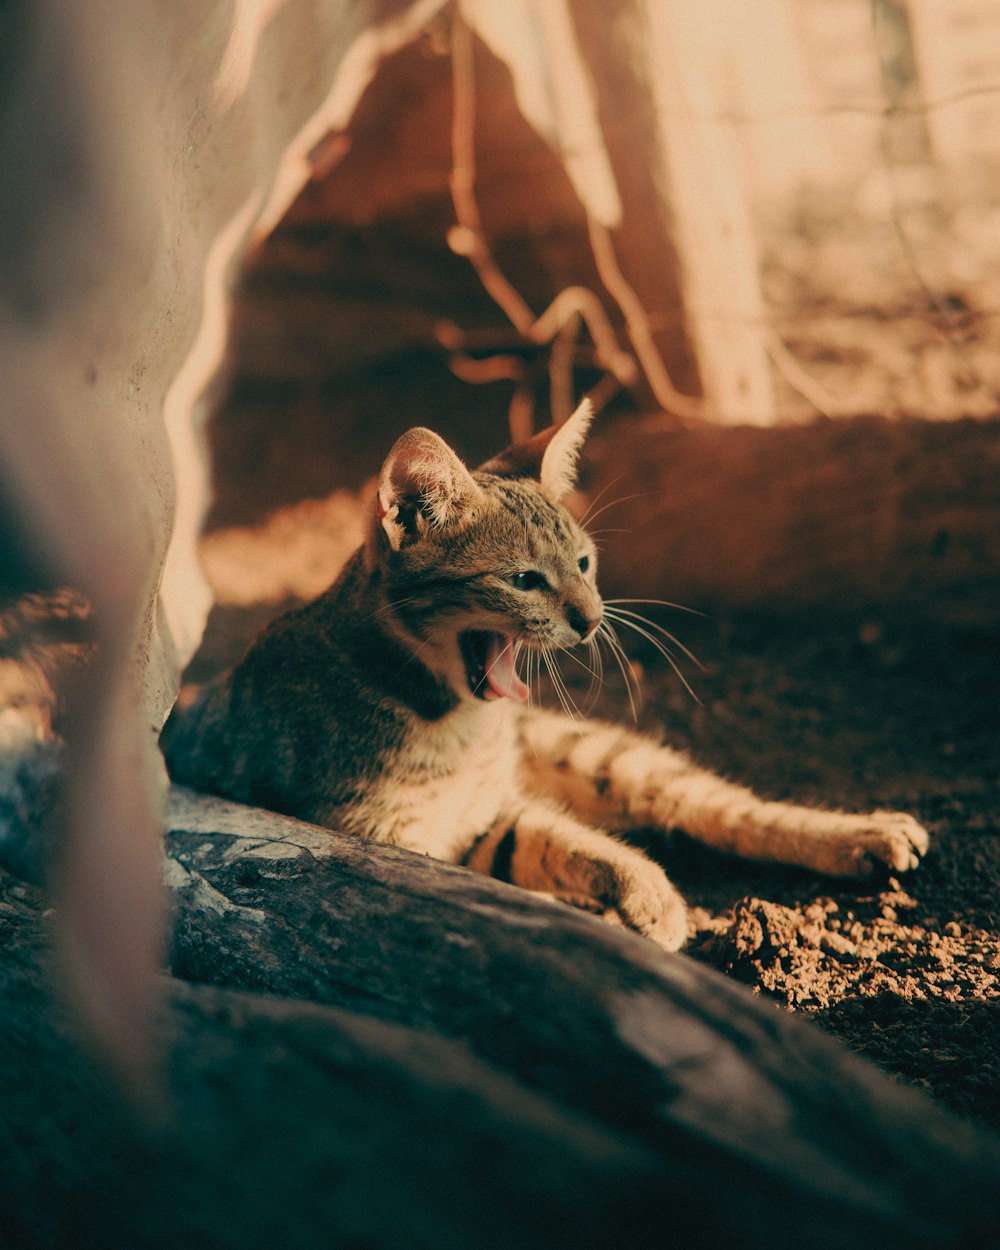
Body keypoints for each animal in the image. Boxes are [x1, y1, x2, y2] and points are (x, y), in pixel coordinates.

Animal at [160, 405, 925, 950]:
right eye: (525, 580)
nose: (592, 619)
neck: (453, 723)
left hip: (600, 754)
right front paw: (633, 897)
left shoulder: (484, 816)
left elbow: (563, 840)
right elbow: (536, 858)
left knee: (721, 805)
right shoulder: (401, 840)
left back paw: (864, 834)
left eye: (583, 564)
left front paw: (646, 893)